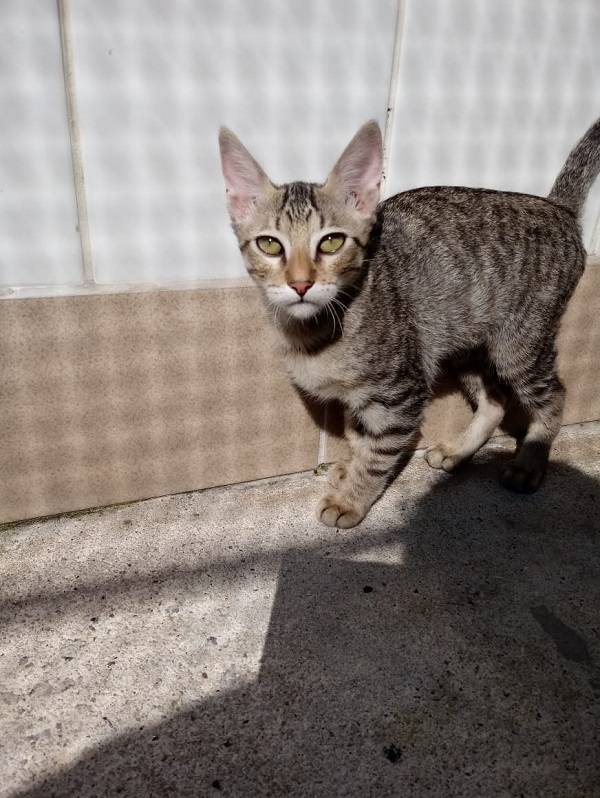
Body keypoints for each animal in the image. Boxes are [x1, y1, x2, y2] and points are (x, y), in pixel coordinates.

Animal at [219, 115, 600, 528]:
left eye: (332, 242)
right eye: (270, 245)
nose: (301, 283)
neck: (319, 330)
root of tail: (557, 208)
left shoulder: (402, 393)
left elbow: (380, 452)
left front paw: (352, 498)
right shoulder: (365, 393)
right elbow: (357, 432)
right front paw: (352, 465)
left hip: (518, 345)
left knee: (554, 395)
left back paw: (530, 462)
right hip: (457, 340)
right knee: (495, 399)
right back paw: (459, 450)